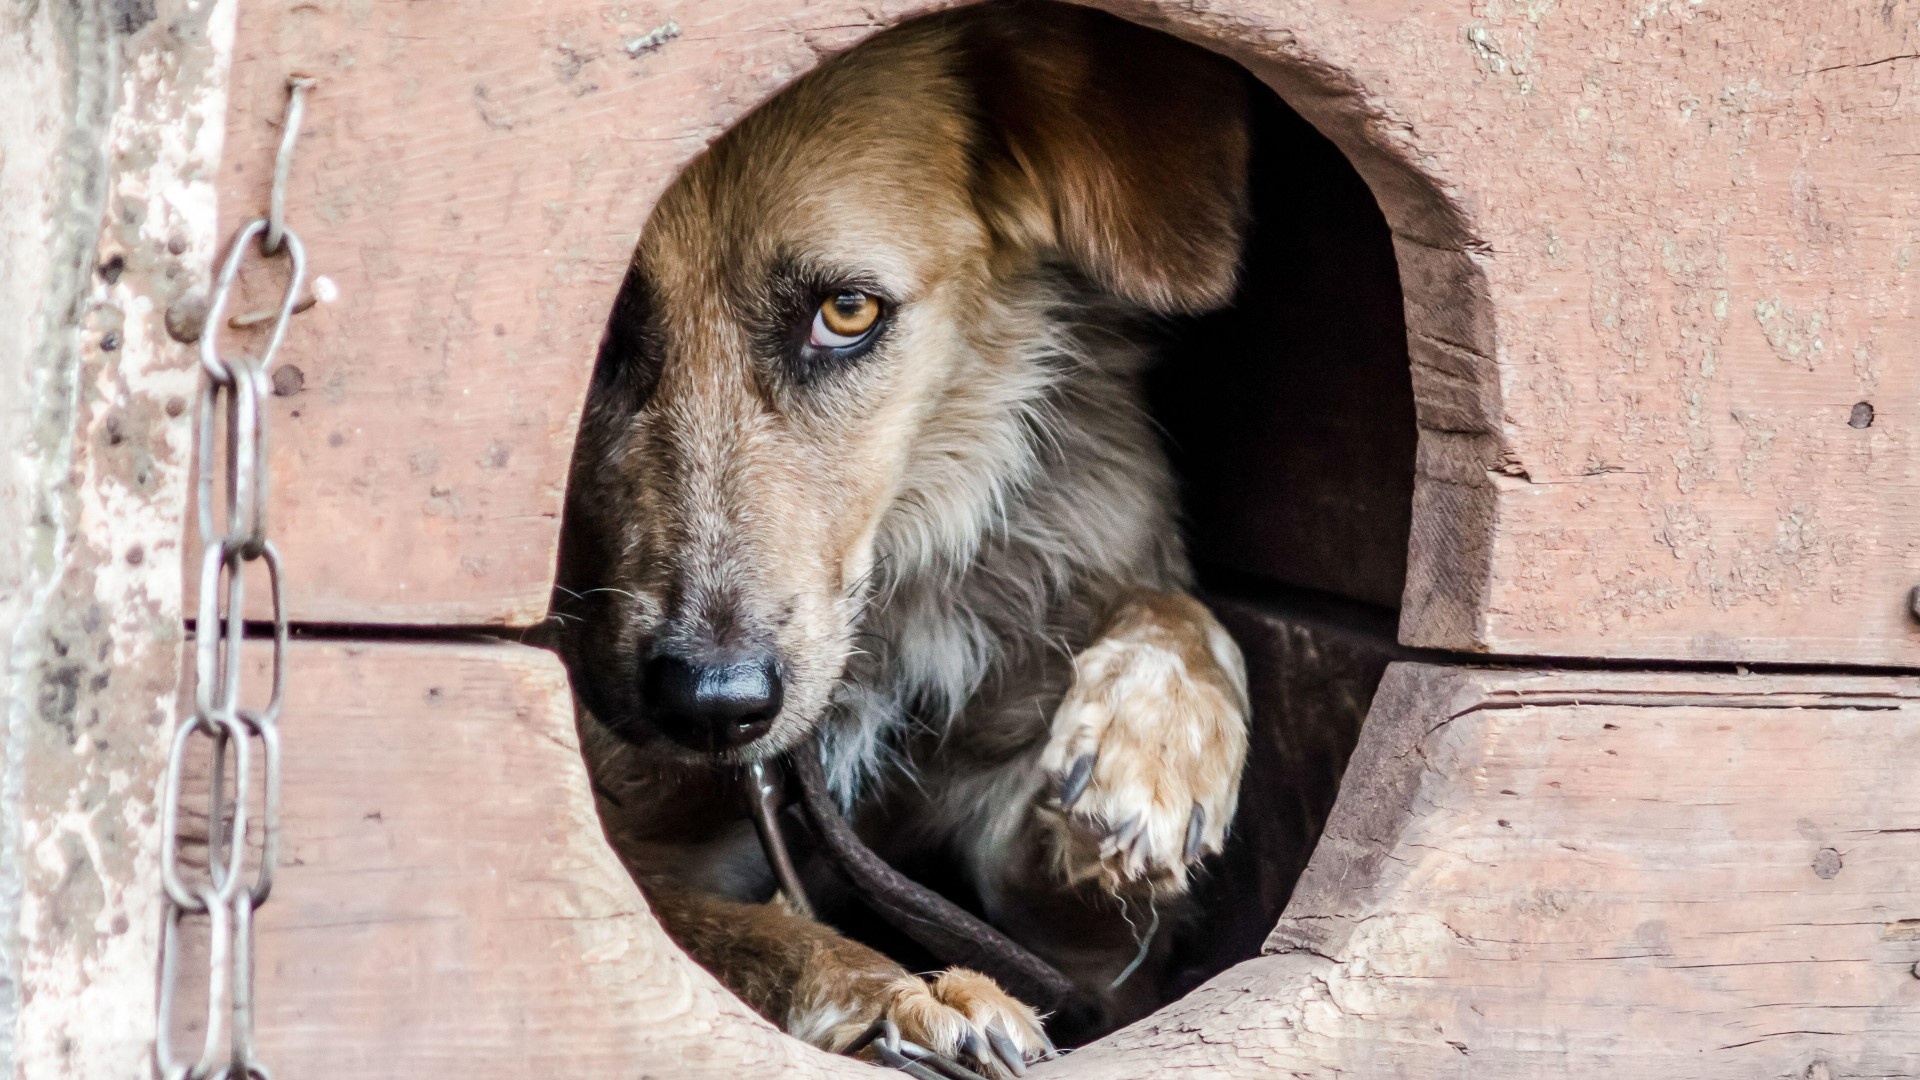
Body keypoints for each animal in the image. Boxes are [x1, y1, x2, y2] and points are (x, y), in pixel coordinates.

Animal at [549, 6, 1251, 1068]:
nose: (714, 706)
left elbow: (1182, 614)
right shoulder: (628, 858)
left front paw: (1157, 745)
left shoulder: (1086, 958)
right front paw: (904, 995)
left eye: (847, 312)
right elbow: (726, 932)